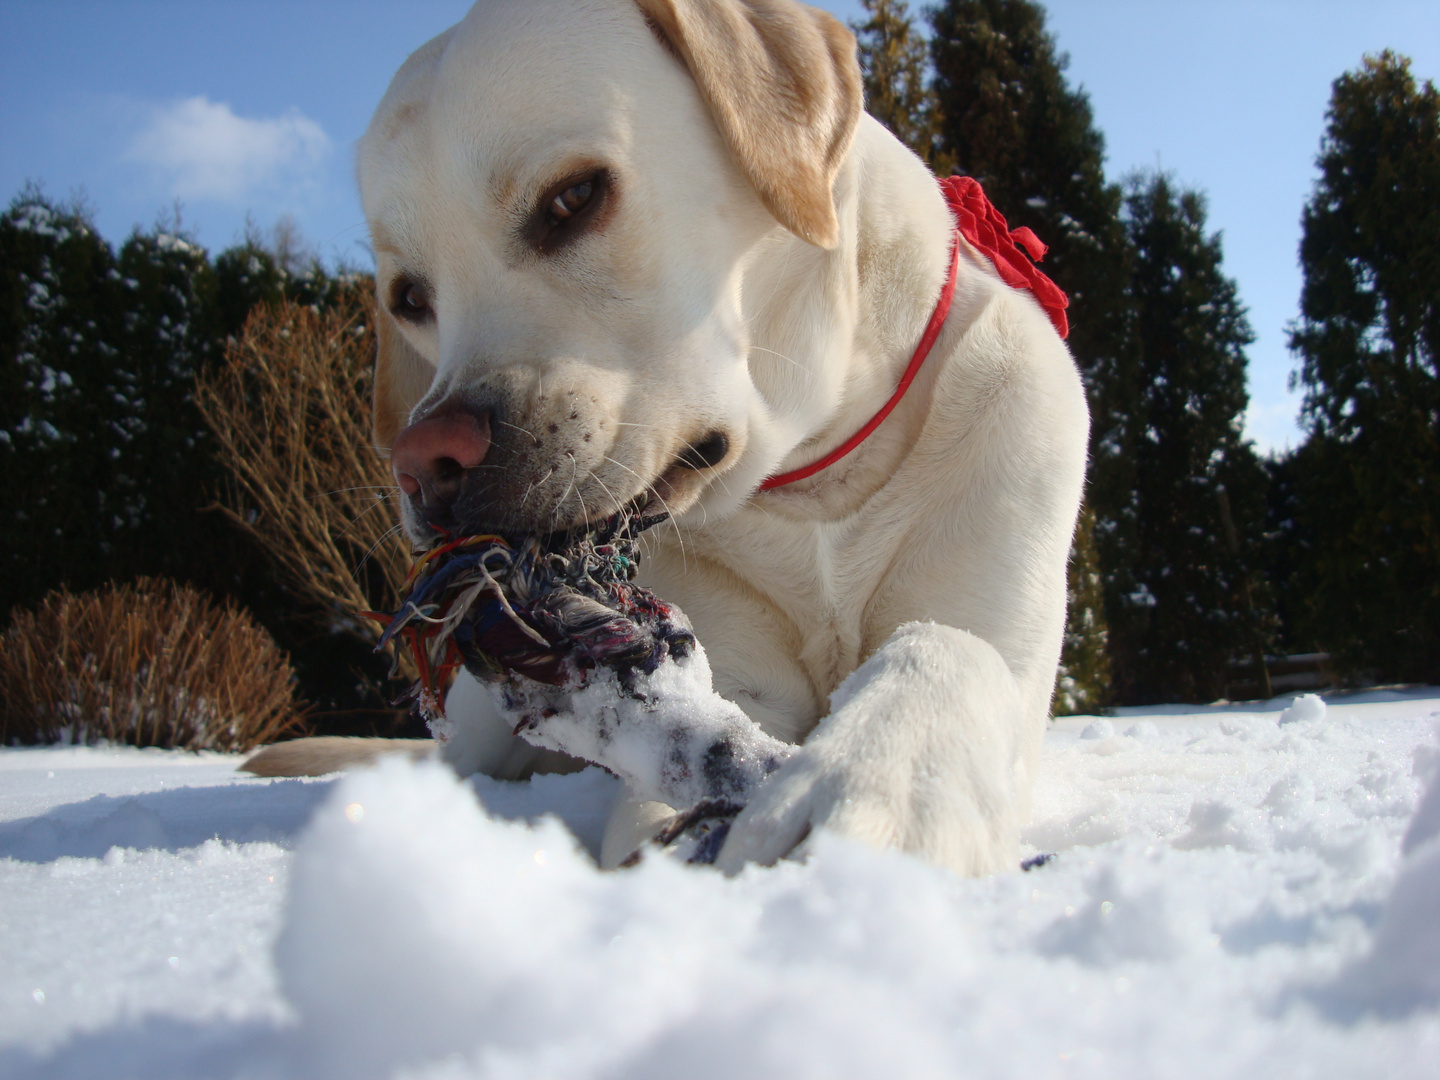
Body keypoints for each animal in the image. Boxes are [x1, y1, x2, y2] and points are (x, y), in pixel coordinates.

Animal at [247, 0, 1082, 881]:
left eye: (574, 198)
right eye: (410, 298)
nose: (423, 464)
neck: (818, 482)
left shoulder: (1001, 619)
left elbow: (951, 647)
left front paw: (871, 781)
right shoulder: (737, 681)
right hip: (478, 729)